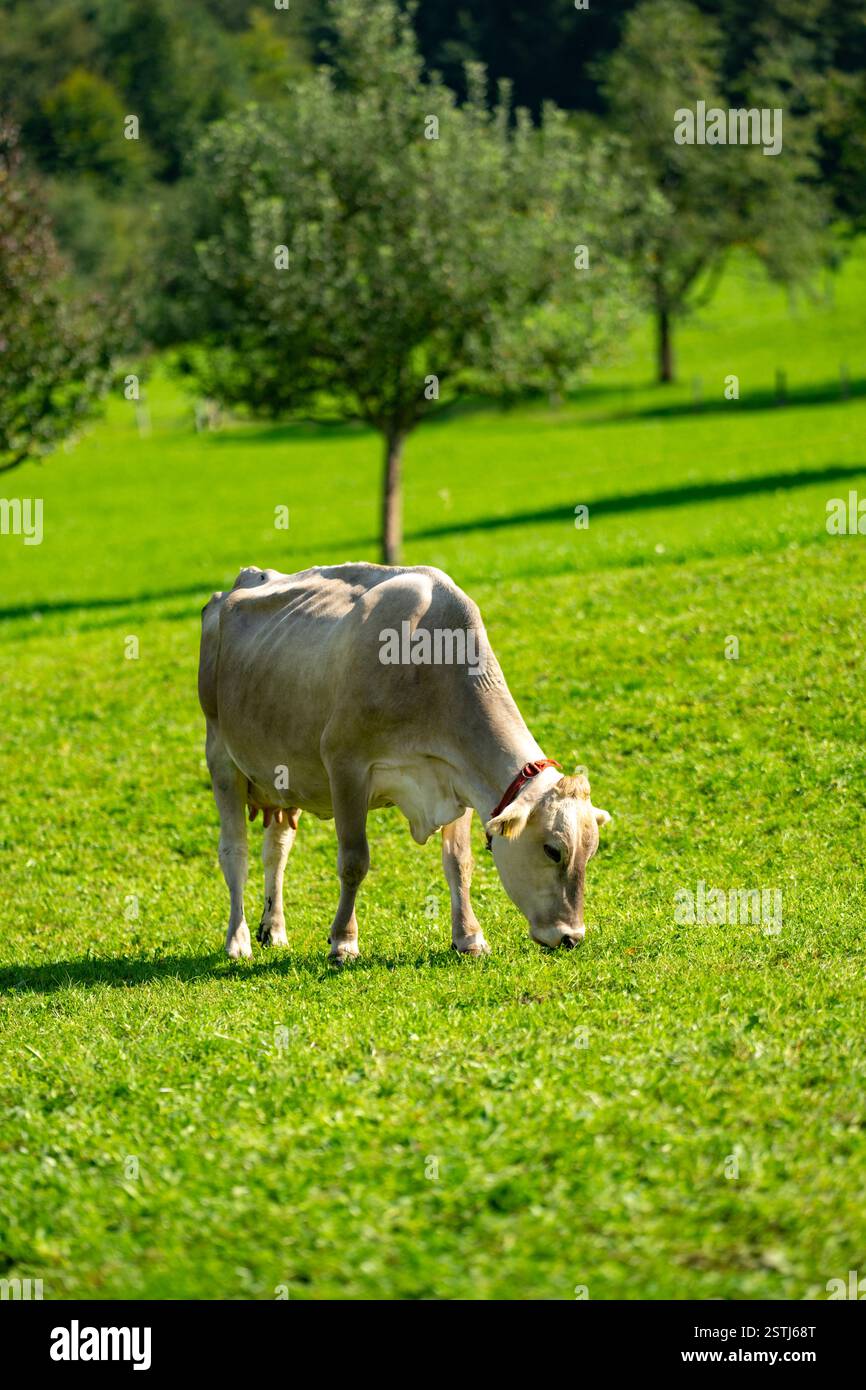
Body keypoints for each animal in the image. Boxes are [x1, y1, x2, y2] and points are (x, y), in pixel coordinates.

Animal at [198, 563, 611, 961]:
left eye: (590, 852)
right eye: (553, 850)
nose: (571, 937)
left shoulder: (454, 774)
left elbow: (459, 863)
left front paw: (469, 937)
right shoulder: (345, 765)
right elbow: (354, 861)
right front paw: (343, 943)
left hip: (284, 778)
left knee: (277, 851)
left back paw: (274, 930)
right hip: (221, 756)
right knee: (234, 852)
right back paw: (238, 939)